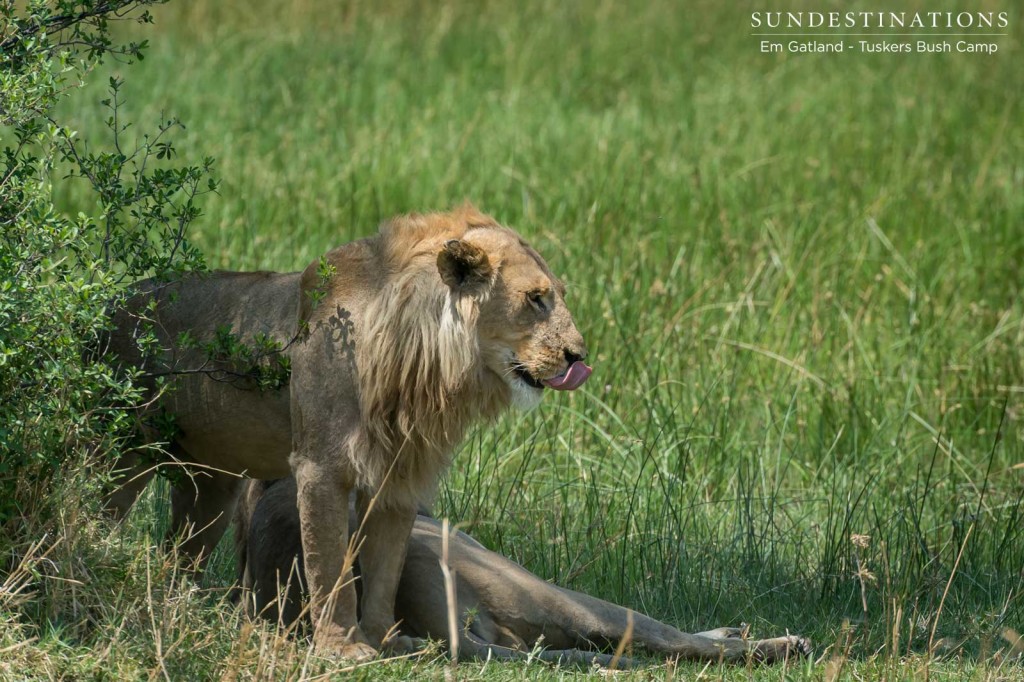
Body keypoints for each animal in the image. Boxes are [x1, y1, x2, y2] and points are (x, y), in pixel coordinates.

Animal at [105, 205, 593, 659]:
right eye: (535, 298)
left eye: (559, 295)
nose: (580, 356)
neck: (424, 361)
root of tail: (109, 303)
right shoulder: (321, 466)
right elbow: (329, 564)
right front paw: (340, 647)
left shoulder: (399, 474)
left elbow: (384, 570)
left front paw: (385, 640)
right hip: (119, 454)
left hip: (210, 485)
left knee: (181, 553)